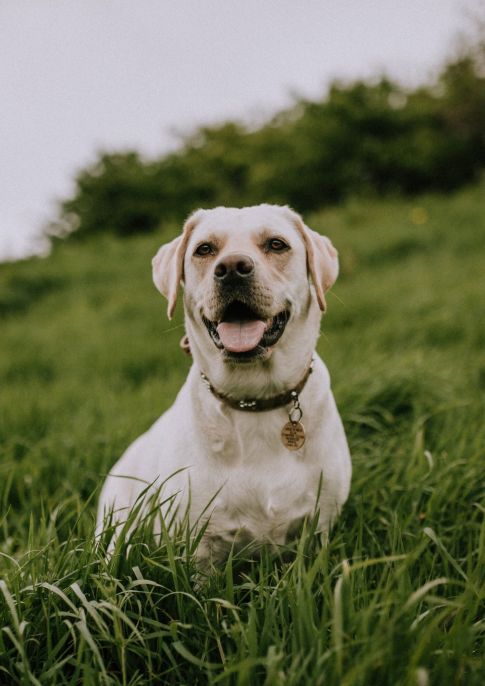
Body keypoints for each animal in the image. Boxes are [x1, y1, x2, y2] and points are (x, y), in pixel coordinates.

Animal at [95, 204, 352, 568]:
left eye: (276, 244)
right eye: (204, 249)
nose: (231, 268)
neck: (254, 400)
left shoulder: (321, 525)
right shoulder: (197, 543)